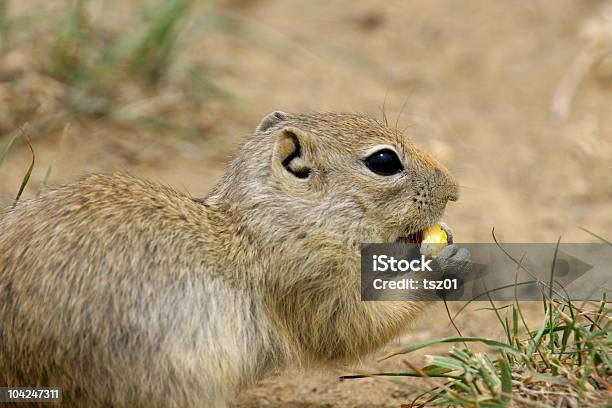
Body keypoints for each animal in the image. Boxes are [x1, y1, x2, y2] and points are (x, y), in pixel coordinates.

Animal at [0, 110, 468, 406]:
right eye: (384, 160)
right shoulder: (308, 279)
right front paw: (442, 266)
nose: (454, 189)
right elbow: (349, 330)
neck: (264, 220)